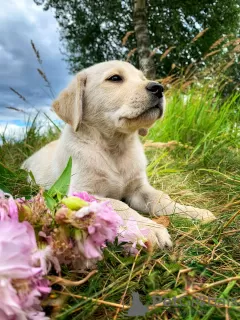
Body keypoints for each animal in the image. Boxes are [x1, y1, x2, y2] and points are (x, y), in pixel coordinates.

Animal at [22, 60, 217, 250]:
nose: (159, 88)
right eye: (115, 78)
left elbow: (161, 199)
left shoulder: (139, 188)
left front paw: (194, 212)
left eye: (142, 78)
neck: (115, 147)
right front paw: (147, 228)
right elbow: (119, 205)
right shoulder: (81, 193)